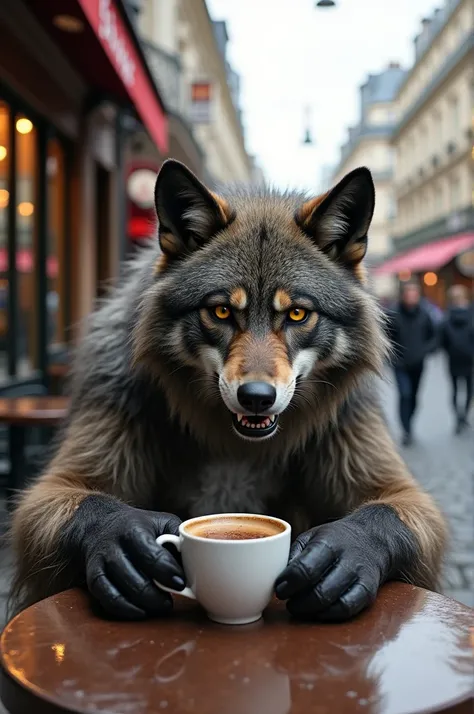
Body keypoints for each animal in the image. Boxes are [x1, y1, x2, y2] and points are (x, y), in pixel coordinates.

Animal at [10, 160, 448, 616]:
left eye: (297, 313)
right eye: (221, 311)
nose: (256, 397)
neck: (234, 446)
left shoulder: (394, 486)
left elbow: (382, 513)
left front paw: (344, 550)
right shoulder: (65, 476)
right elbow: (85, 502)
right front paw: (123, 538)